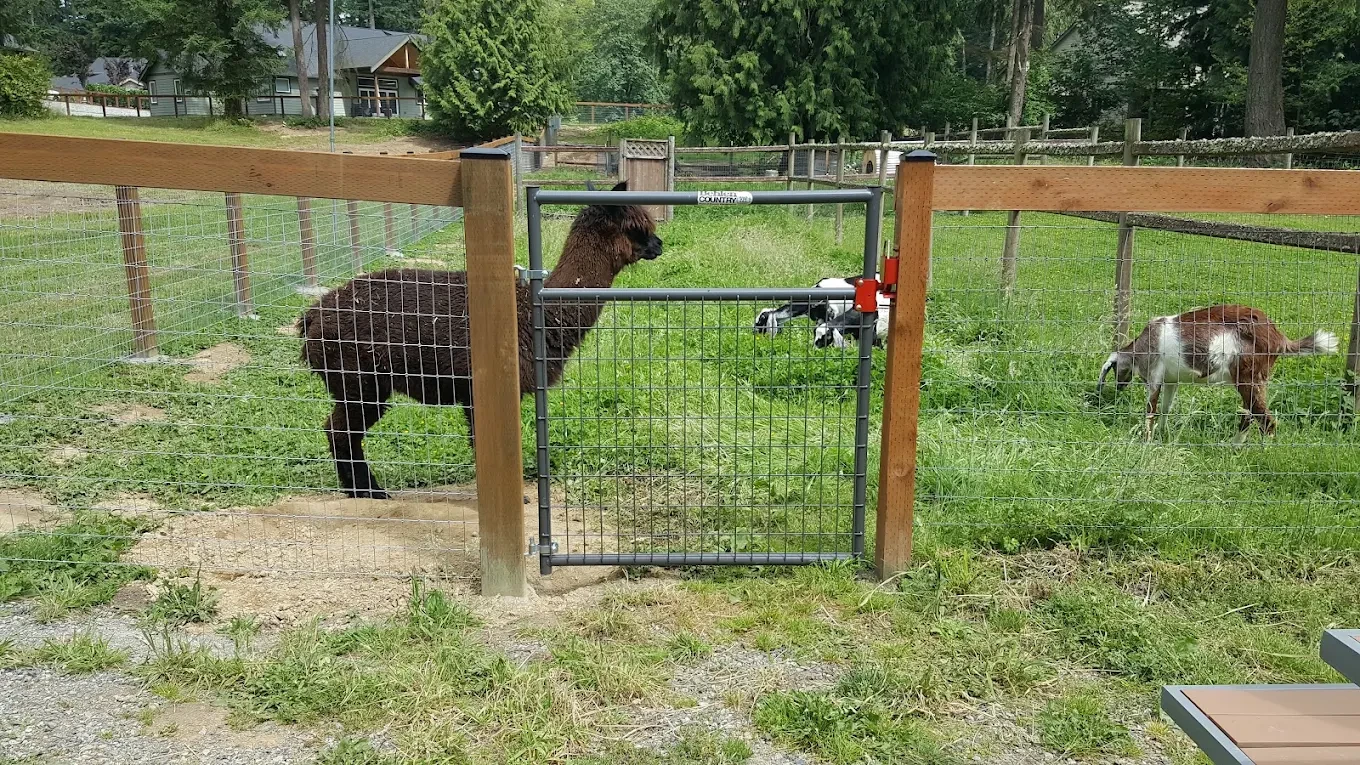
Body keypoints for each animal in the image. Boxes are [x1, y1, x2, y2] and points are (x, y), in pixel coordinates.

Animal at [300, 180, 662, 499]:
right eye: (635, 227)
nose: (658, 244)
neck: (541, 315)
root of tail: (313, 315)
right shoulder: (486, 387)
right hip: (360, 379)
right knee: (340, 431)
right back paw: (370, 491)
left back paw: (359, 491)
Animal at [1097, 304, 1337, 443]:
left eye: (1115, 369)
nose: (1119, 387)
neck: (1142, 345)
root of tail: (1278, 336)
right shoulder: (1172, 380)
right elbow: (1165, 408)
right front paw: (1163, 434)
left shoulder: (1154, 376)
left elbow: (1150, 410)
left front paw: (1146, 440)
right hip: (1253, 380)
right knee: (1250, 413)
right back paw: (1234, 446)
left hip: (1248, 377)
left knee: (1264, 418)